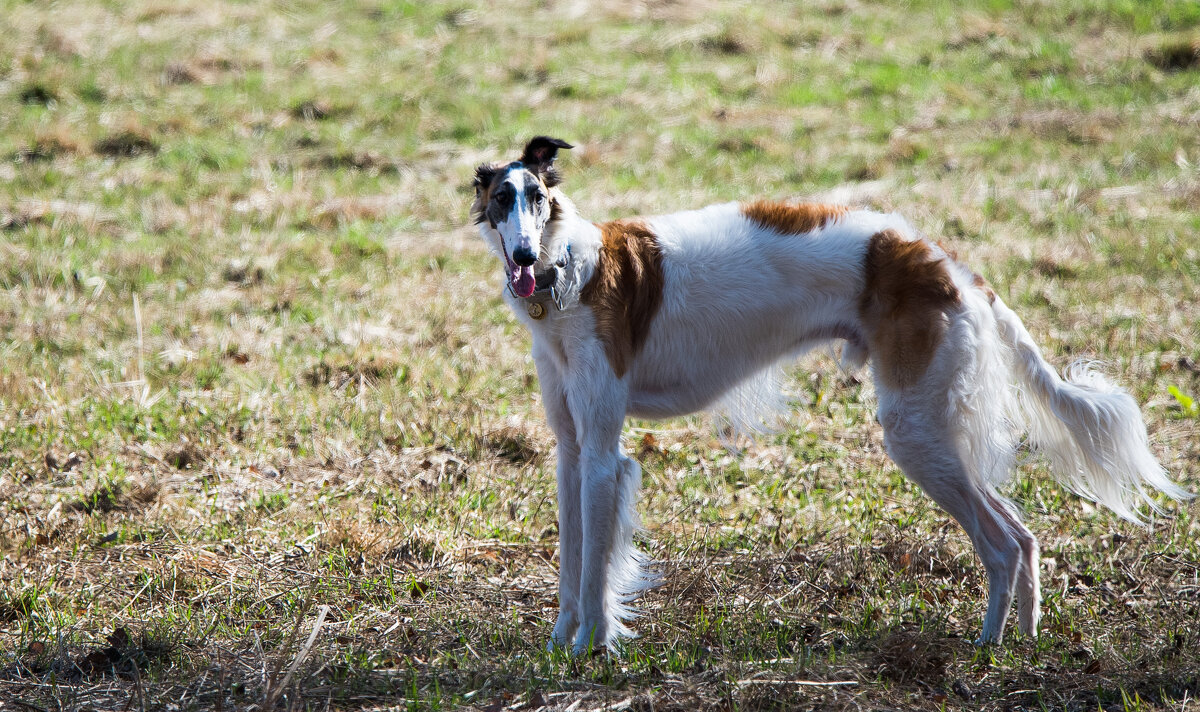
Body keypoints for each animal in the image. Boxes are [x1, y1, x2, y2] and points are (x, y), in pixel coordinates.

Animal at [470, 136, 1190, 653]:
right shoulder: (571, 452)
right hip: (932, 431)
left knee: (1002, 543)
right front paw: (559, 644)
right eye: (502, 200)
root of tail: (949, 263)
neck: (572, 274)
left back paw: (986, 645)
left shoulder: (604, 455)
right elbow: (570, 562)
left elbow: (595, 567)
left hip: (914, 432)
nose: (526, 258)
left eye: (537, 197)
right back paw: (1026, 637)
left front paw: (590, 650)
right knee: (1025, 535)